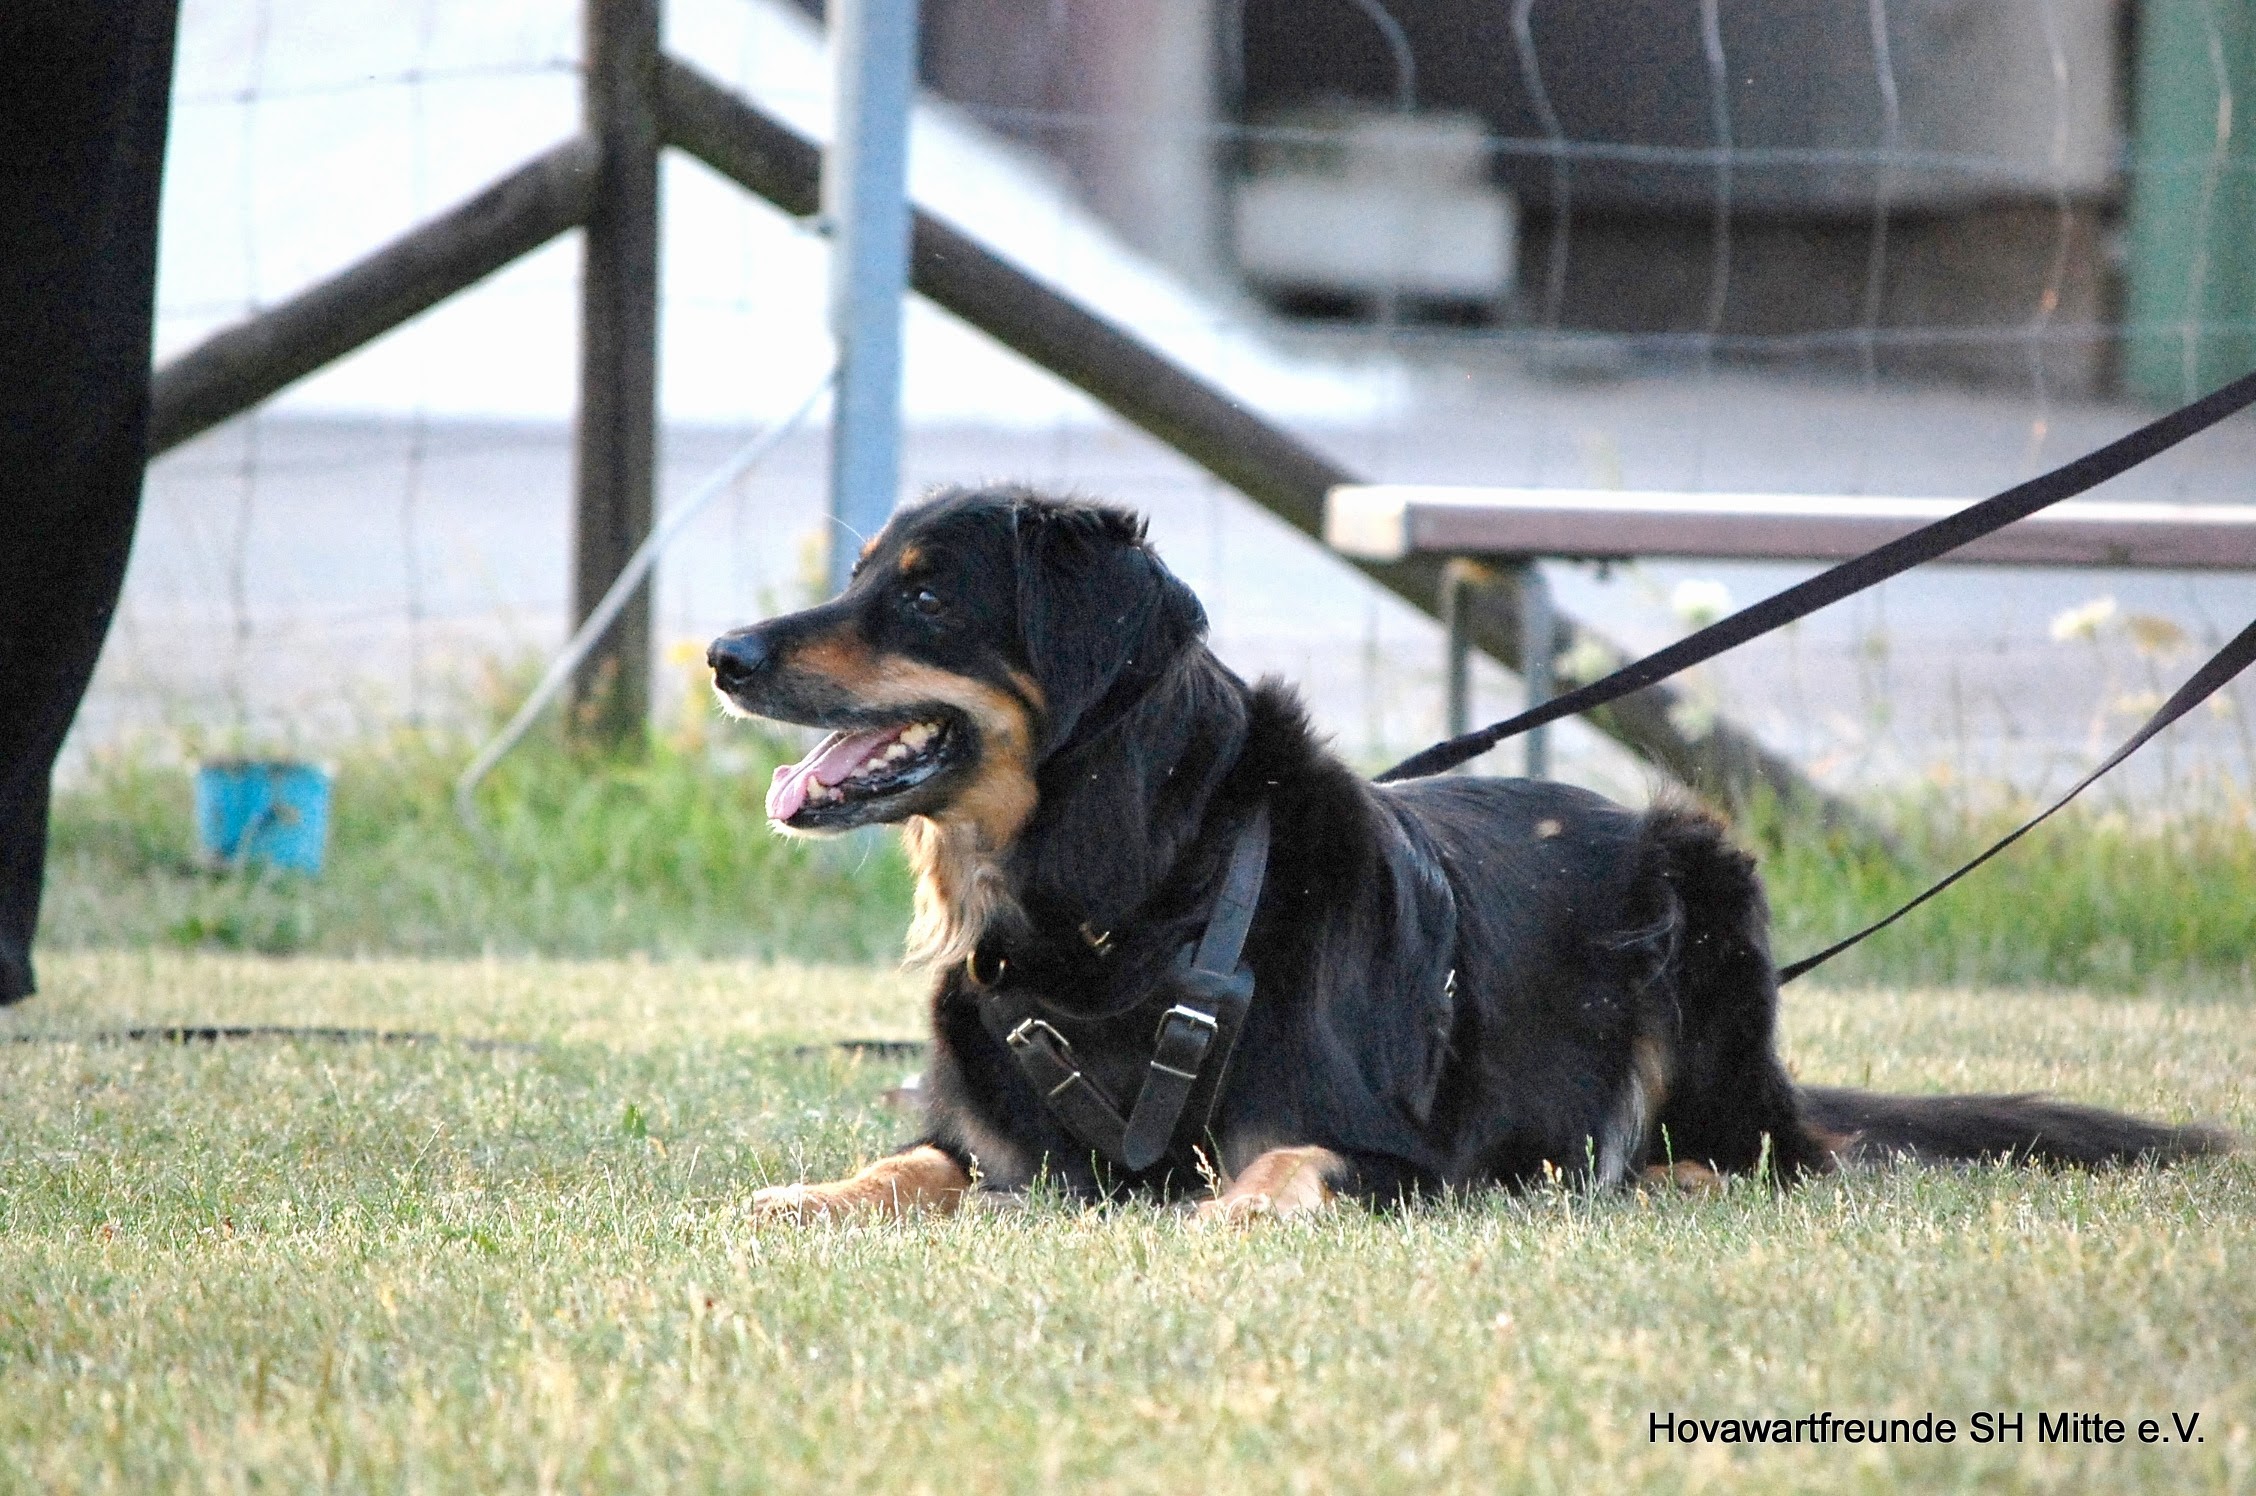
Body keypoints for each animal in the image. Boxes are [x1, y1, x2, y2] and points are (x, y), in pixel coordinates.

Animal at [708, 487, 2228, 1221]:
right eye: (864, 571)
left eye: (924, 594)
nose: (722, 652)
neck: (1117, 920)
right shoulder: (985, 1134)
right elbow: (908, 1164)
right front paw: (806, 1194)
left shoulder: (1399, 1154)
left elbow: (1288, 1164)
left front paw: (1227, 1216)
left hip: (1709, 893)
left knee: (1762, 1158)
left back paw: (1636, 1173)